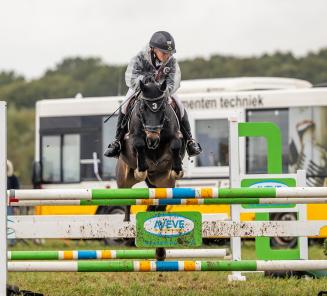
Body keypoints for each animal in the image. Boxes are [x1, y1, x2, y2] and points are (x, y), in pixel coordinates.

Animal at [116, 78, 186, 222]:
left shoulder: (175, 135)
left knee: (160, 199)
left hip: (162, 182)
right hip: (123, 180)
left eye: (163, 108)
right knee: (126, 198)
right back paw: (126, 220)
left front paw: (177, 169)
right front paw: (140, 171)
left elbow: (175, 145)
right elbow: (139, 145)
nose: (152, 139)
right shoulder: (133, 138)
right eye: (143, 108)